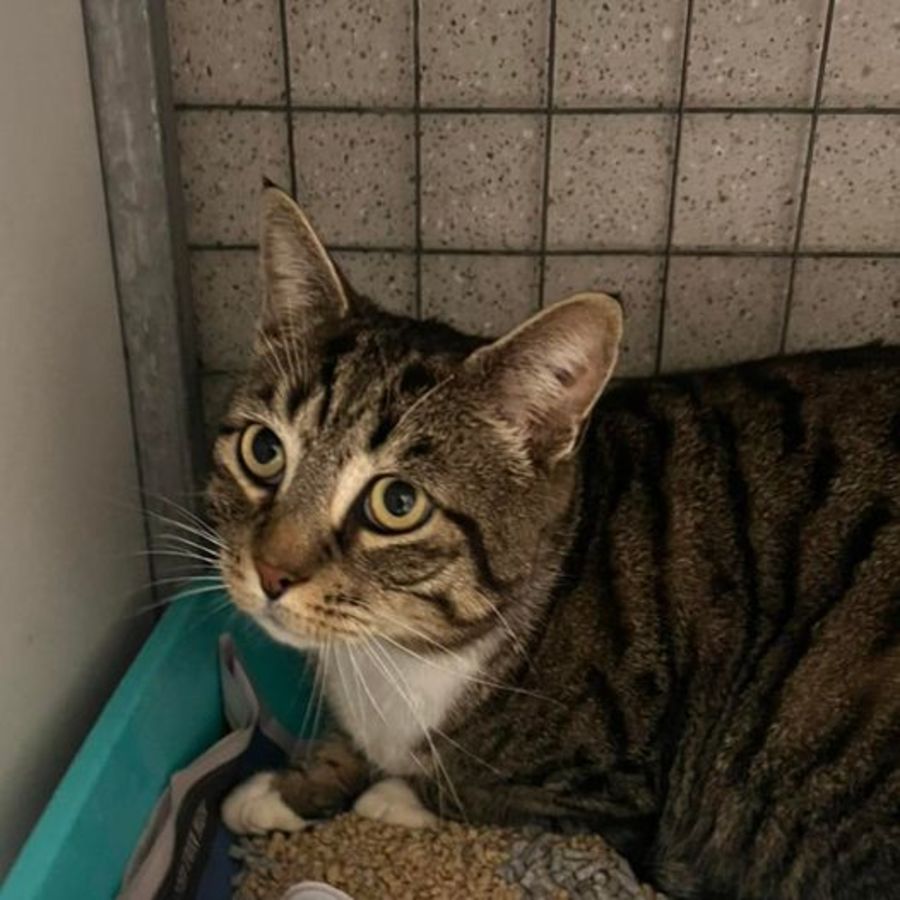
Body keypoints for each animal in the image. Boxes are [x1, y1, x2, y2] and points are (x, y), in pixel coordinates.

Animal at [210, 186, 900, 899]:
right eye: (263, 451)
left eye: (396, 504)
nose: (270, 571)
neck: (397, 654)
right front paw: (287, 788)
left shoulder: (611, 792)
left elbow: (478, 790)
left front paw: (392, 795)